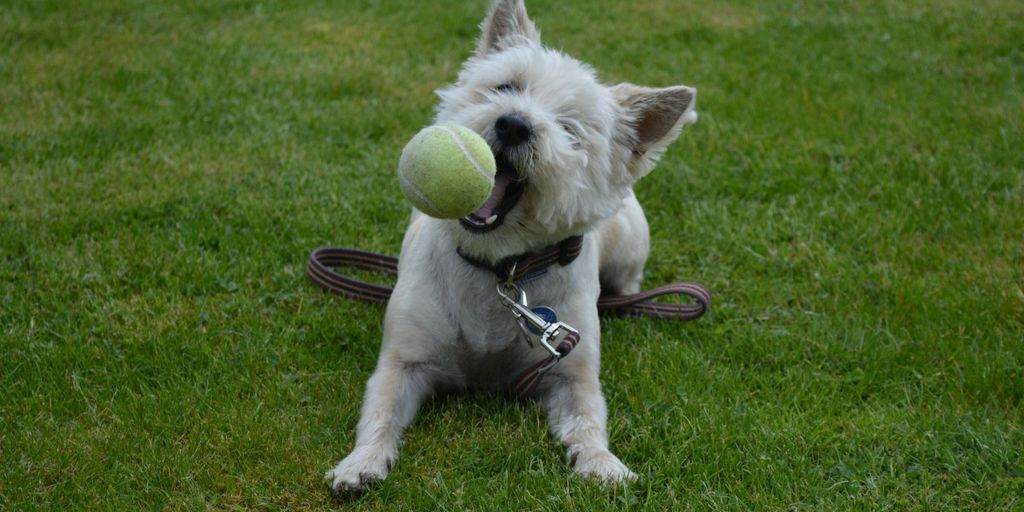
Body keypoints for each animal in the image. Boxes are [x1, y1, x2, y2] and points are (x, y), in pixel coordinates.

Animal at [325, 0, 696, 491]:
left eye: (570, 129)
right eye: (506, 87)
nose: (514, 124)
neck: (501, 271)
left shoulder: (570, 371)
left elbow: (587, 420)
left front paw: (603, 464)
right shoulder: (403, 363)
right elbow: (380, 413)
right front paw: (360, 463)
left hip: (630, 244)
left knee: (628, 280)